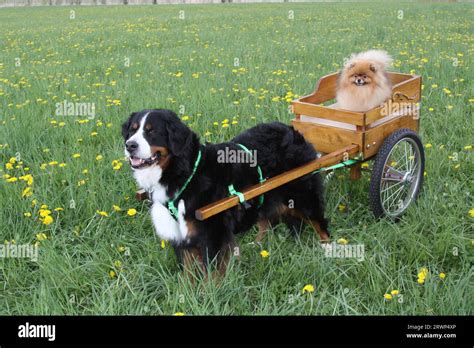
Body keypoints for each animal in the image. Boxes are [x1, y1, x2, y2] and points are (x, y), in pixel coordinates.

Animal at [122, 109, 330, 274]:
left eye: (152, 131)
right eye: (132, 130)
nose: (130, 145)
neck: (184, 173)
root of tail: (292, 131)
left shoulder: (213, 234)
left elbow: (211, 276)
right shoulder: (181, 234)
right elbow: (188, 274)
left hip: (303, 195)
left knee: (319, 223)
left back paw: (328, 249)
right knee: (266, 221)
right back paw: (256, 245)